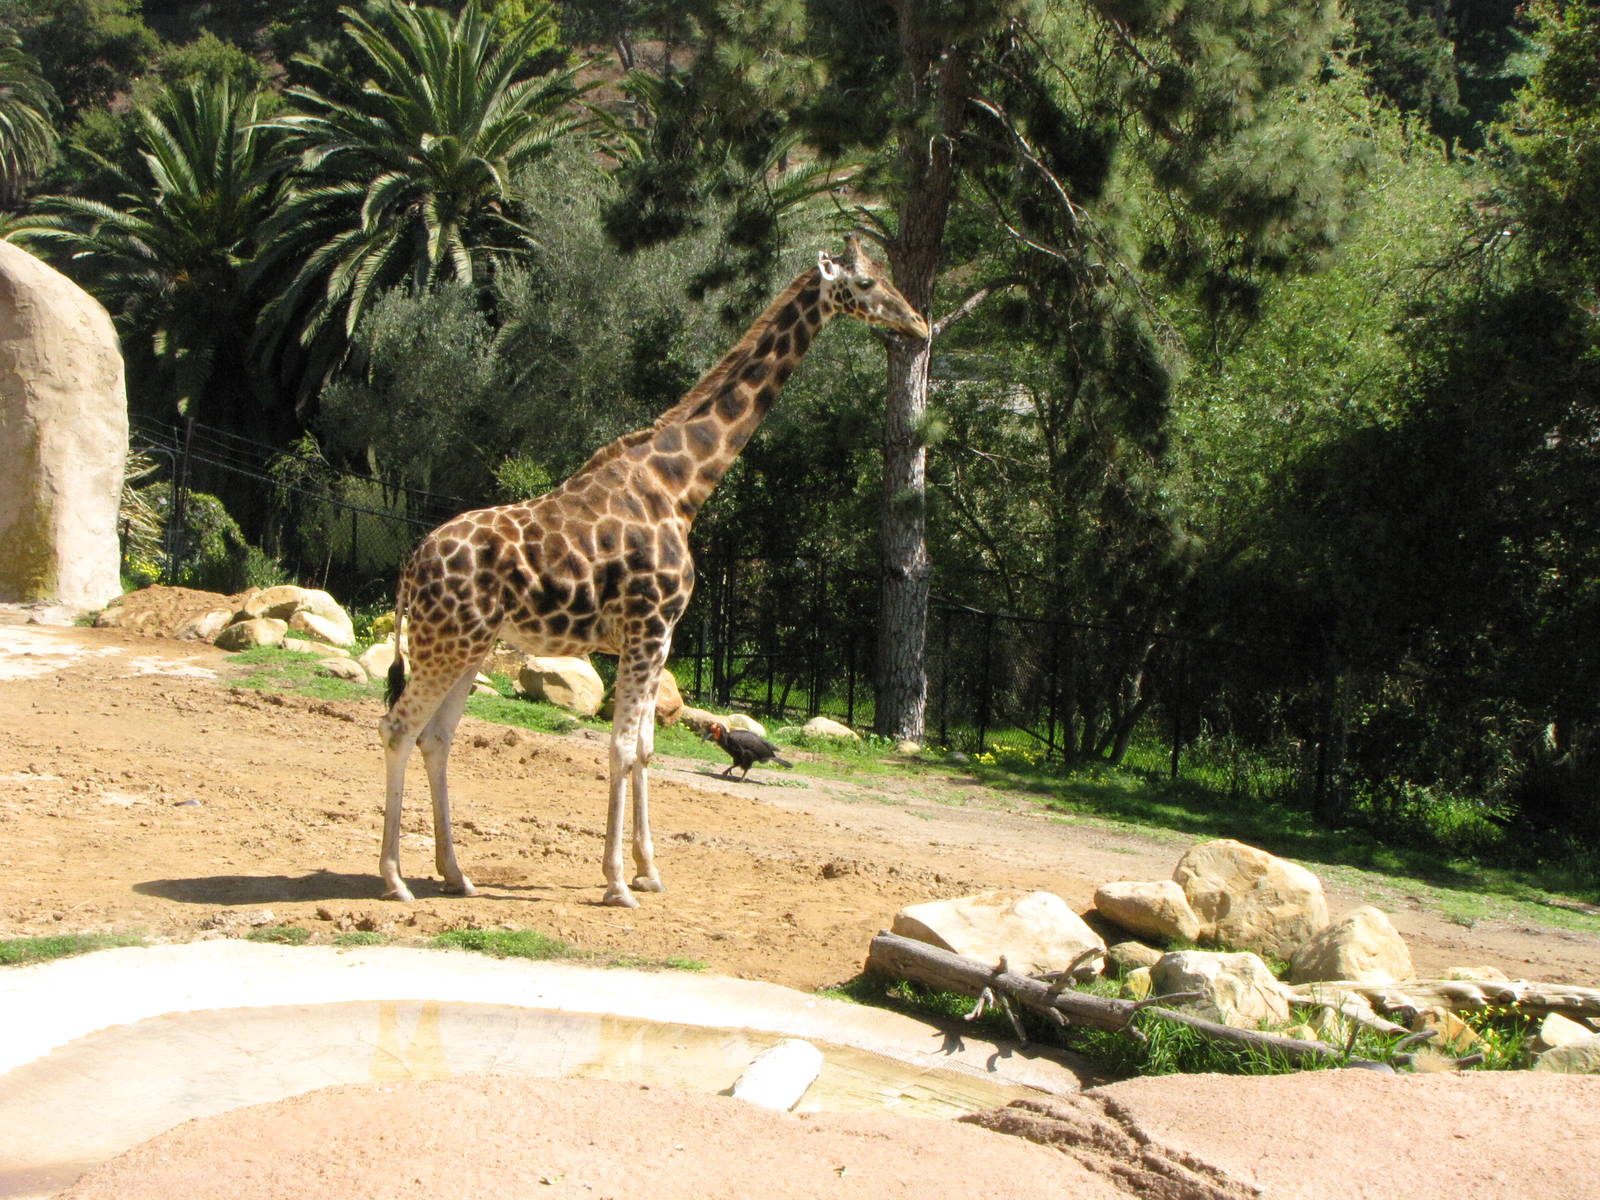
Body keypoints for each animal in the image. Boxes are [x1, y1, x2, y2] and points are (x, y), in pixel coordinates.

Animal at [380, 235, 930, 906]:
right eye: (868, 284)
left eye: (886, 273)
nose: (919, 324)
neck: (681, 486)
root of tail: (410, 567)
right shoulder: (649, 629)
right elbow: (620, 748)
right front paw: (619, 883)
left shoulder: (660, 638)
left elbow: (643, 747)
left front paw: (649, 870)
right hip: (446, 642)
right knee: (399, 727)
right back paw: (395, 880)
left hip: (471, 646)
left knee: (436, 736)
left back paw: (457, 876)